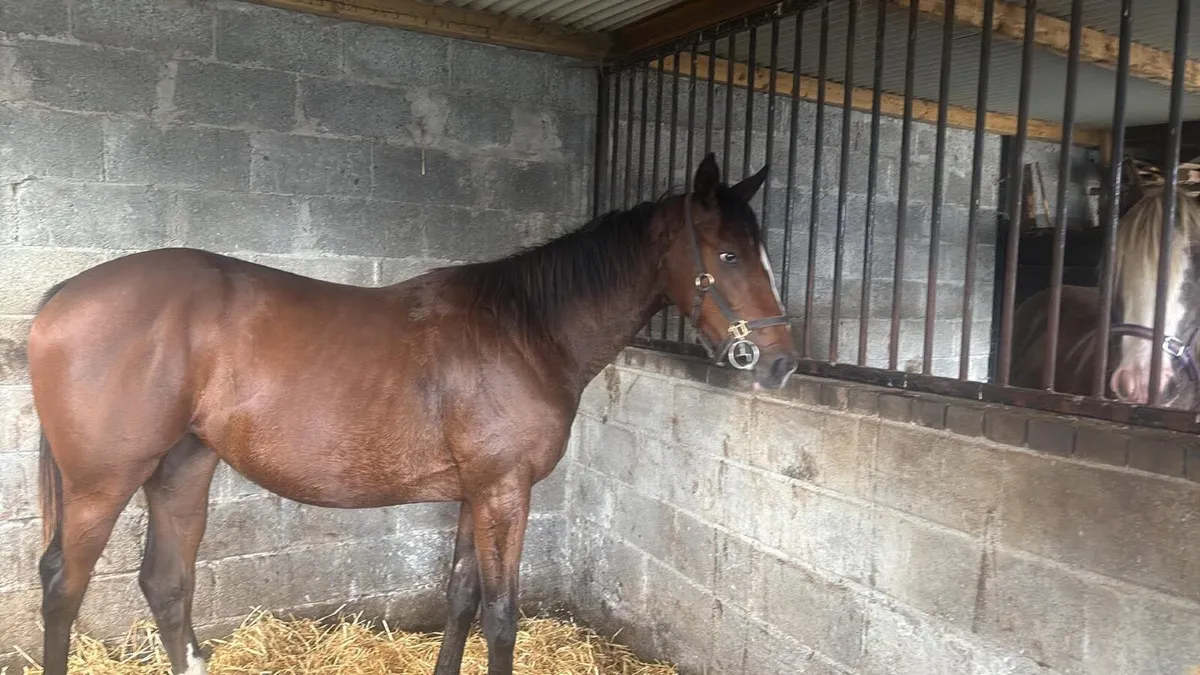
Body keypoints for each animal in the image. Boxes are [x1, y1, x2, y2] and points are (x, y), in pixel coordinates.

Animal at [27, 152, 798, 675]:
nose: (780, 361)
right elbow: (500, 614)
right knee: (65, 585)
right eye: (729, 253)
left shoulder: (475, 493)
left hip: (183, 467)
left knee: (166, 582)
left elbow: (460, 596)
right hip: (102, 483)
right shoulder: (504, 491)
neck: (524, 330)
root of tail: (63, 295)